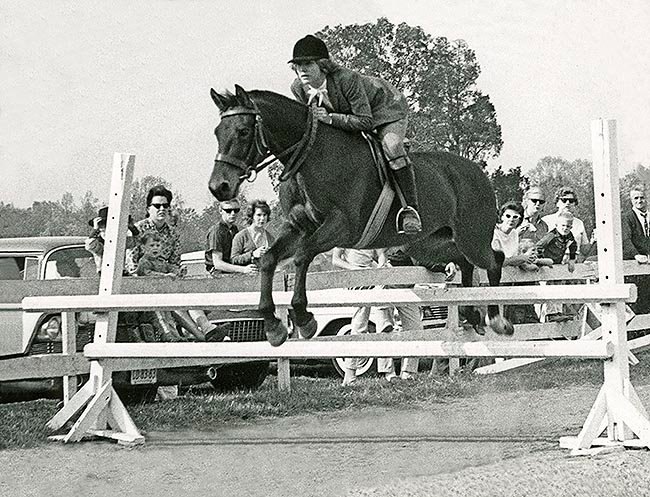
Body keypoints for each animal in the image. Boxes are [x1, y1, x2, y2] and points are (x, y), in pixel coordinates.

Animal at [208, 85, 513, 346]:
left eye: (244, 131)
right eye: (217, 132)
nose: (218, 187)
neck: (311, 157)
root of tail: (478, 173)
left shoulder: (341, 227)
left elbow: (303, 255)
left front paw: (304, 319)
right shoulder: (297, 227)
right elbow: (269, 259)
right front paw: (274, 327)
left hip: (471, 238)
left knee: (494, 260)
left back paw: (497, 320)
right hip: (427, 245)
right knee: (464, 262)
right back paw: (472, 314)